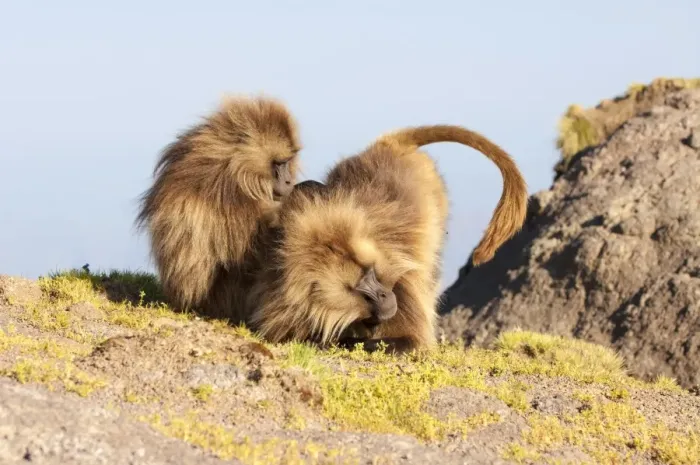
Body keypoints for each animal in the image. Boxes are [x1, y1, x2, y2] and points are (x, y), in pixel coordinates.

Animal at [245, 124, 528, 353]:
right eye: (360, 286)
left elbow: (412, 341)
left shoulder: (400, 287)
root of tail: (386, 146)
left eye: (371, 272)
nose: (384, 296)